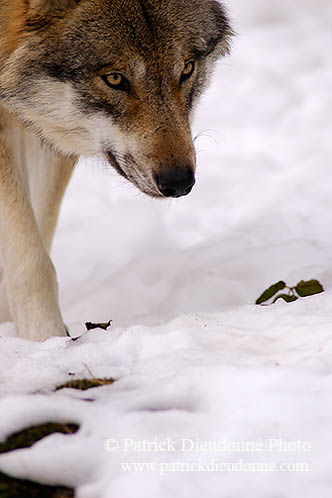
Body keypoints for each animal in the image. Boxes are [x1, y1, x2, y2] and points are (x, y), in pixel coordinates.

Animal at [0, 0, 232, 340]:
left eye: (187, 68)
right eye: (114, 79)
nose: (179, 182)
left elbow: (38, 234)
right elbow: (32, 260)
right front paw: (46, 340)